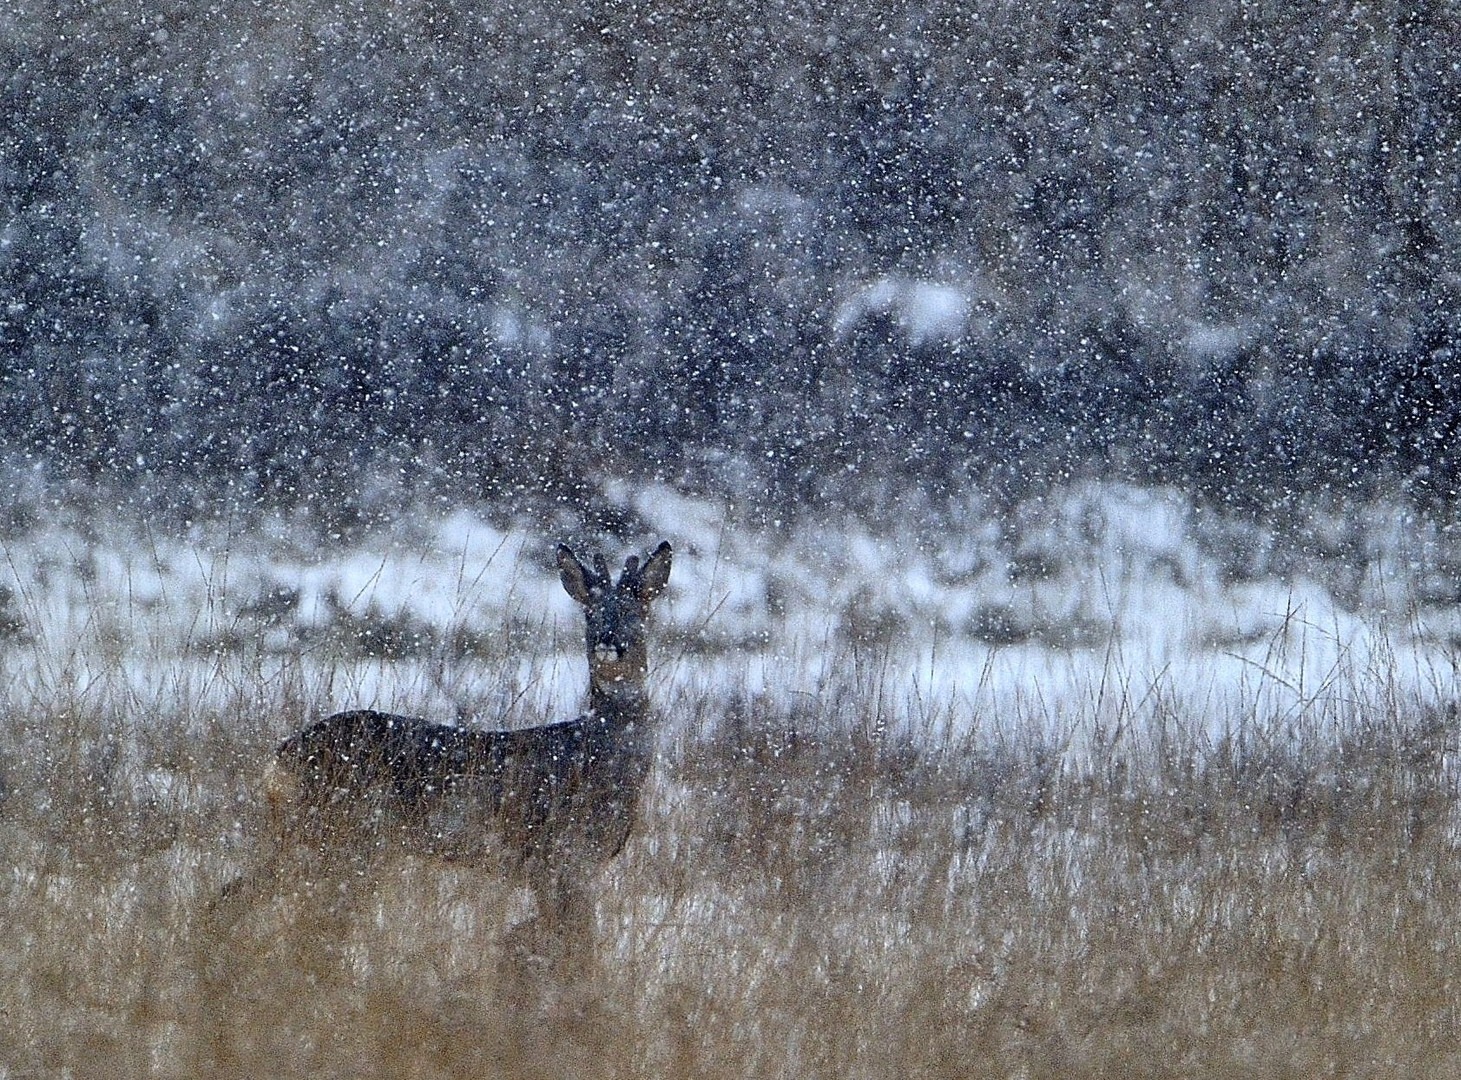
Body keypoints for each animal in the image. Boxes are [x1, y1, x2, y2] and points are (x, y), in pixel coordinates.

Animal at [226, 543, 672, 923]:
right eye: (590, 614)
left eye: (635, 612)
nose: (607, 642)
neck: (596, 751)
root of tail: (278, 759)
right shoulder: (561, 857)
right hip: (343, 835)